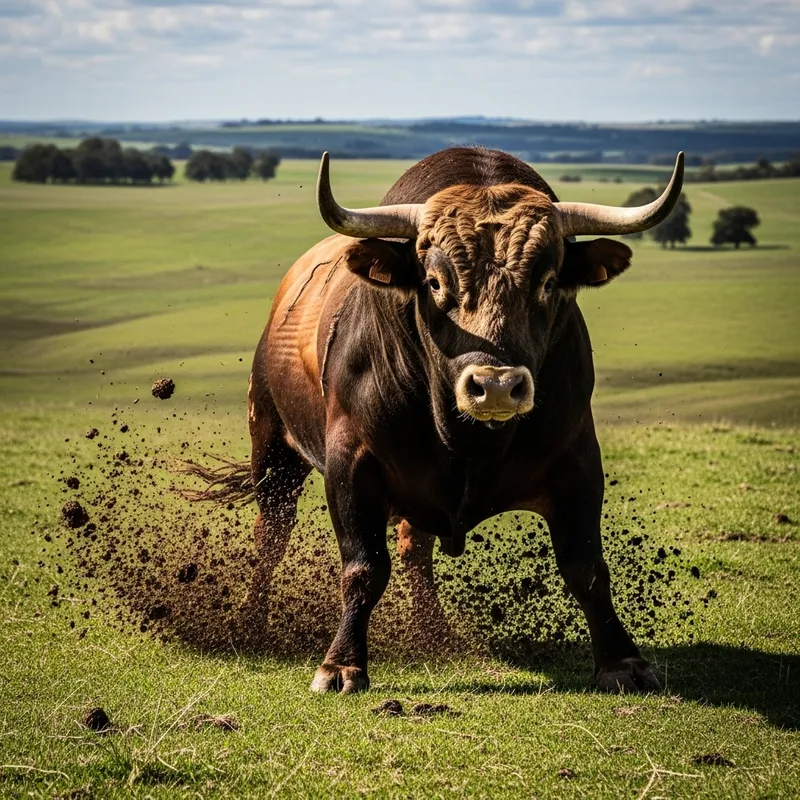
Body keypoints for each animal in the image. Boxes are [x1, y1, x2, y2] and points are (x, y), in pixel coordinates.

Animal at [244, 146, 683, 694]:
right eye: (434, 282)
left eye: (549, 282)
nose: (495, 385)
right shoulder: (351, 466)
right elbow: (363, 567)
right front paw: (342, 665)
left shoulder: (578, 461)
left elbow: (586, 567)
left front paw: (622, 661)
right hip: (272, 449)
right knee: (270, 536)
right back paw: (250, 626)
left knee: (414, 550)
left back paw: (435, 633)